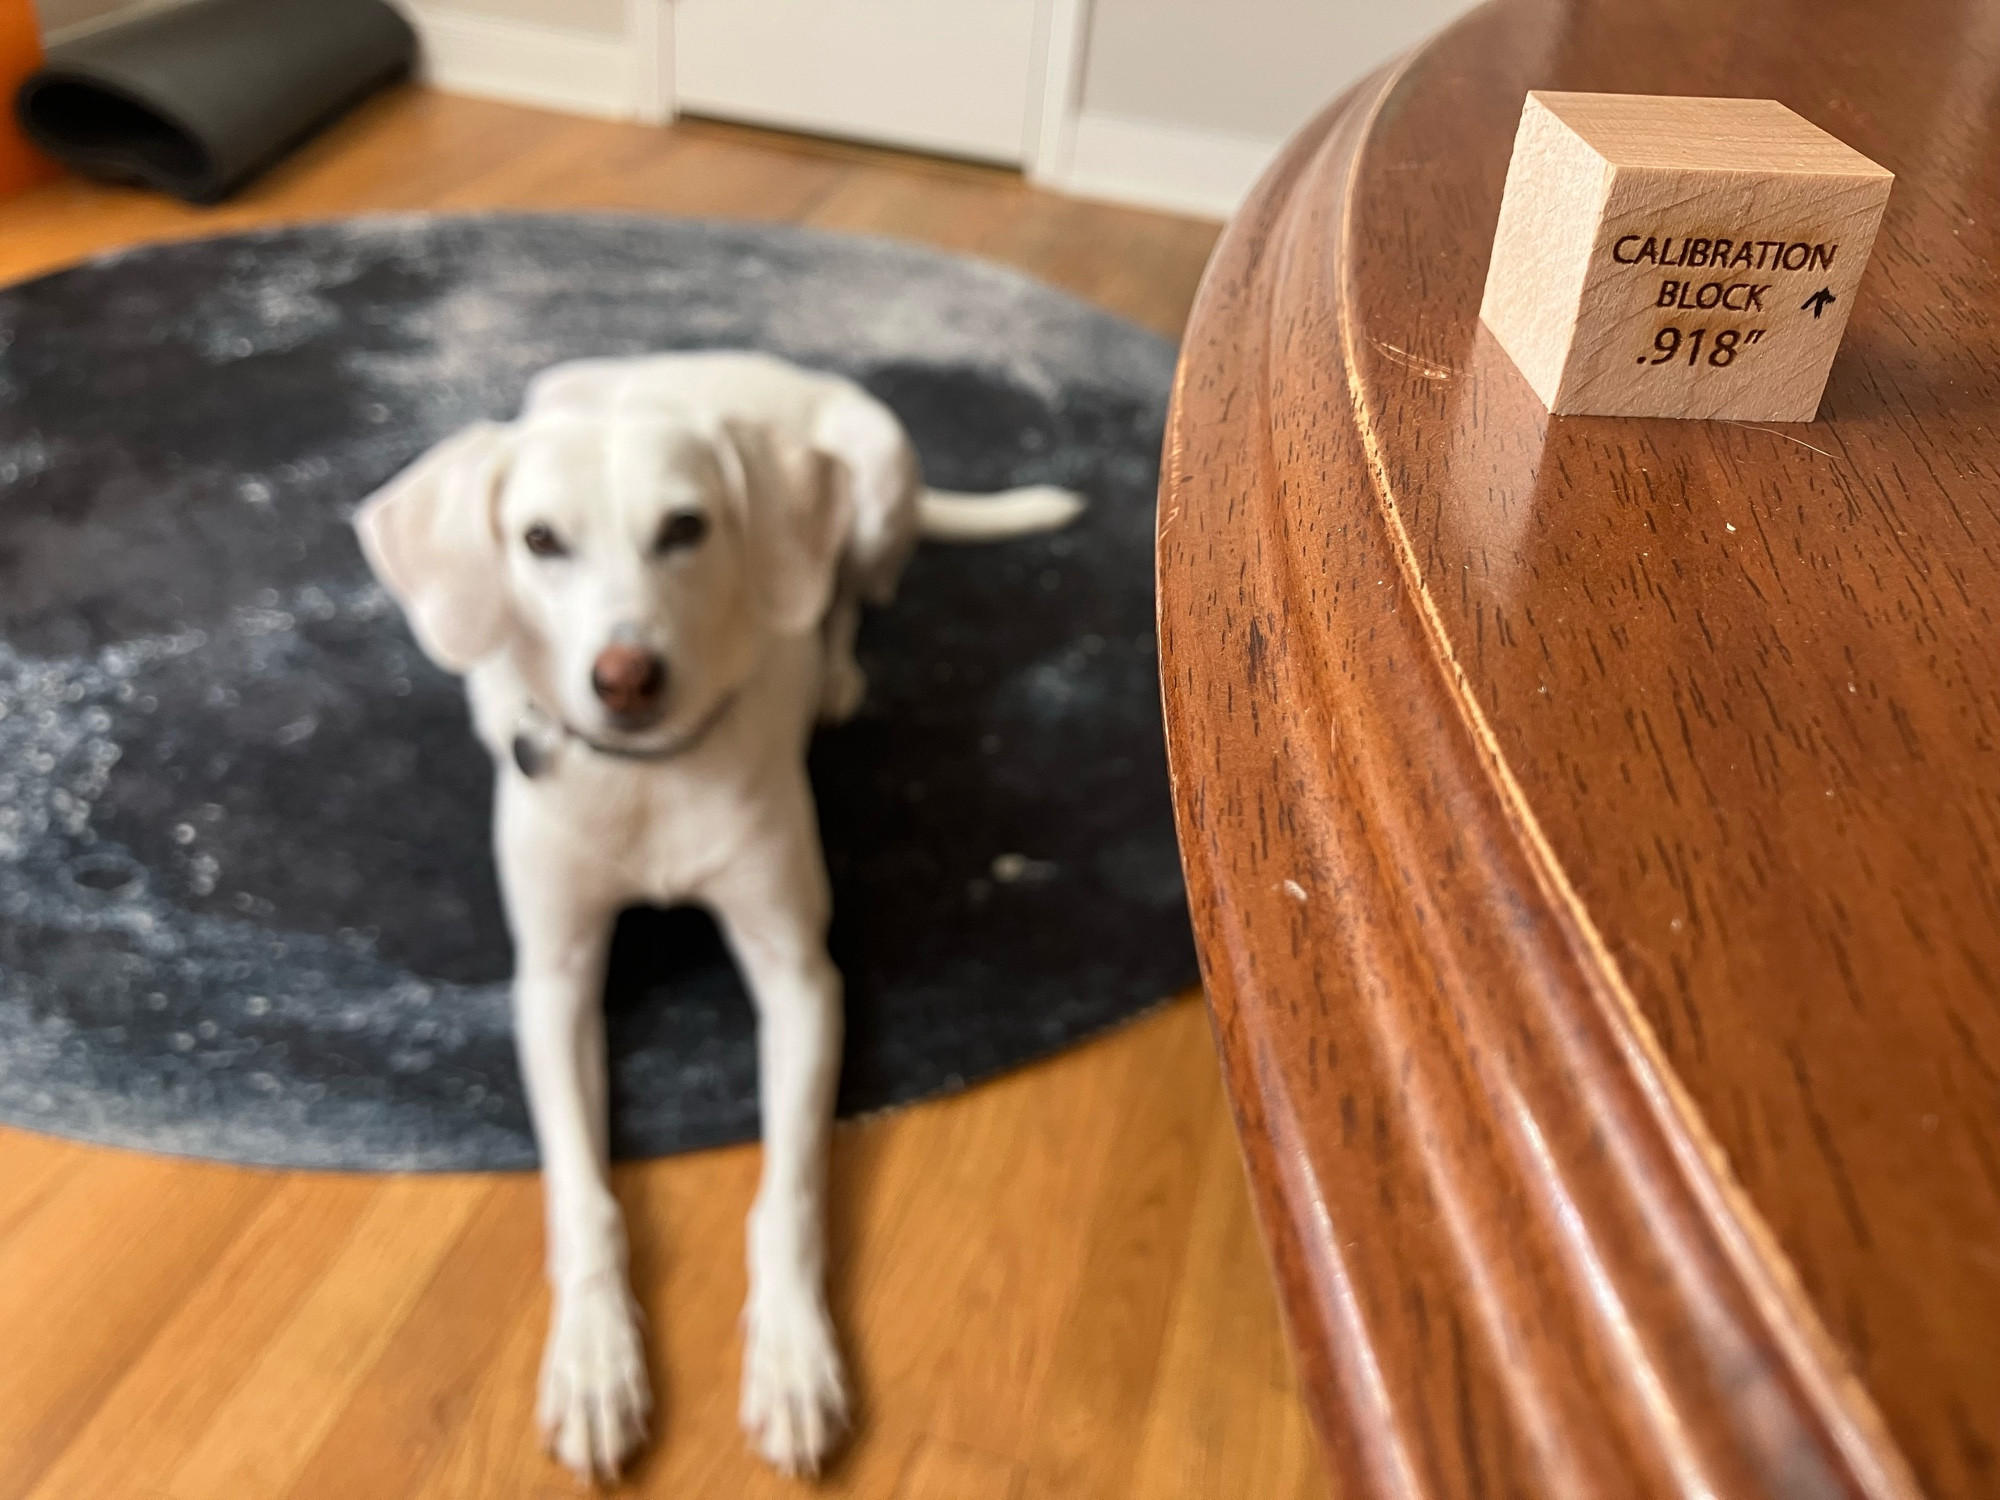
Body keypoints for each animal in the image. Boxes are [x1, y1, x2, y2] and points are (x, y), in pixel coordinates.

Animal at [354, 350, 1088, 1480]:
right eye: (539, 540)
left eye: (686, 529)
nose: (625, 678)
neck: (650, 775)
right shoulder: (554, 985)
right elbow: (583, 1198)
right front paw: (593, 1361)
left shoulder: (800, 979)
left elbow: (787, 1197)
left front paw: (793, 1359)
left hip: (875, 485)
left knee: (841, 595)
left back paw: (834, 671)